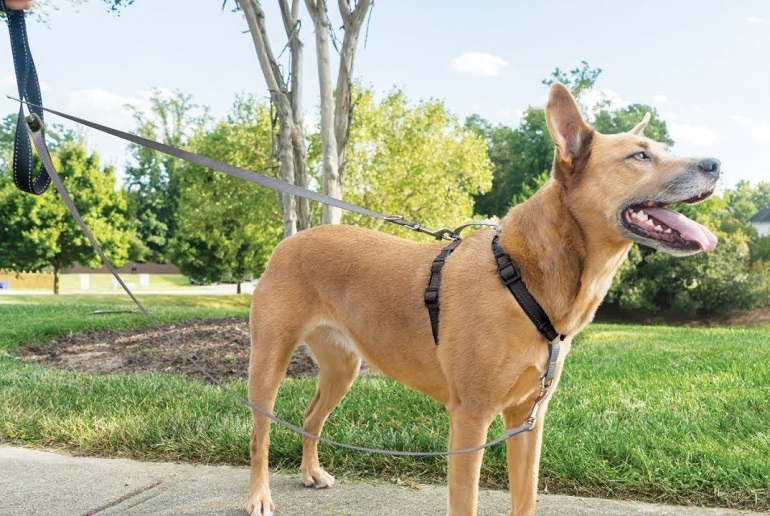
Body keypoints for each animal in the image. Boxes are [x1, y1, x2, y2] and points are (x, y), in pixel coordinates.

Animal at [246, 82, 720, 512]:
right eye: (640, 155)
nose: (716, 162)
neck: (522, 276)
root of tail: (290, 240)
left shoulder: (529, 418)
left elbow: (525, 499)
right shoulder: (470, 419)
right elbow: (466, 501)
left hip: (342, 367)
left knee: (310, 417)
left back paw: (310, 472)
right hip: (268, 364)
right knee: (259, 435)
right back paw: (259, 497)